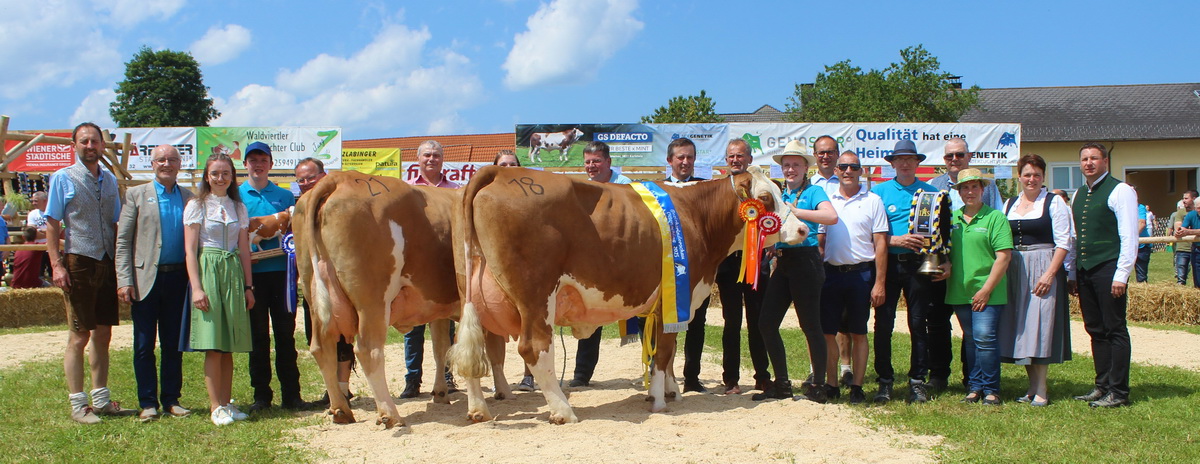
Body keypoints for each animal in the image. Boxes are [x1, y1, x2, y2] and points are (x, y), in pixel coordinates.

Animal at [296, 170, 468, 429]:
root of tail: (342, 177)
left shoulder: (438, 307)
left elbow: (440, 348)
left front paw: (440, 393)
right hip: (373, 301)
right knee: (369, 350)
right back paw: (390, 414)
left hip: (313, 294)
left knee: (321, 348)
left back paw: (340, 410)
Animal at [451, 166, 806, 424]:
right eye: (765, 198)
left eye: (780, 192)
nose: (803, 229)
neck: (696, 215)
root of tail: (500, 171)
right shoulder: (675, 297)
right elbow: (664, 352)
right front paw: (660, 401)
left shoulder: (671, 302)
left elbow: (669, 353)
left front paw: (669, 391)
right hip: (536, 295)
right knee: (533, 348)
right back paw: (563, 411)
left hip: (471, 290)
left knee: (469, 349)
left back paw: (478, 409)